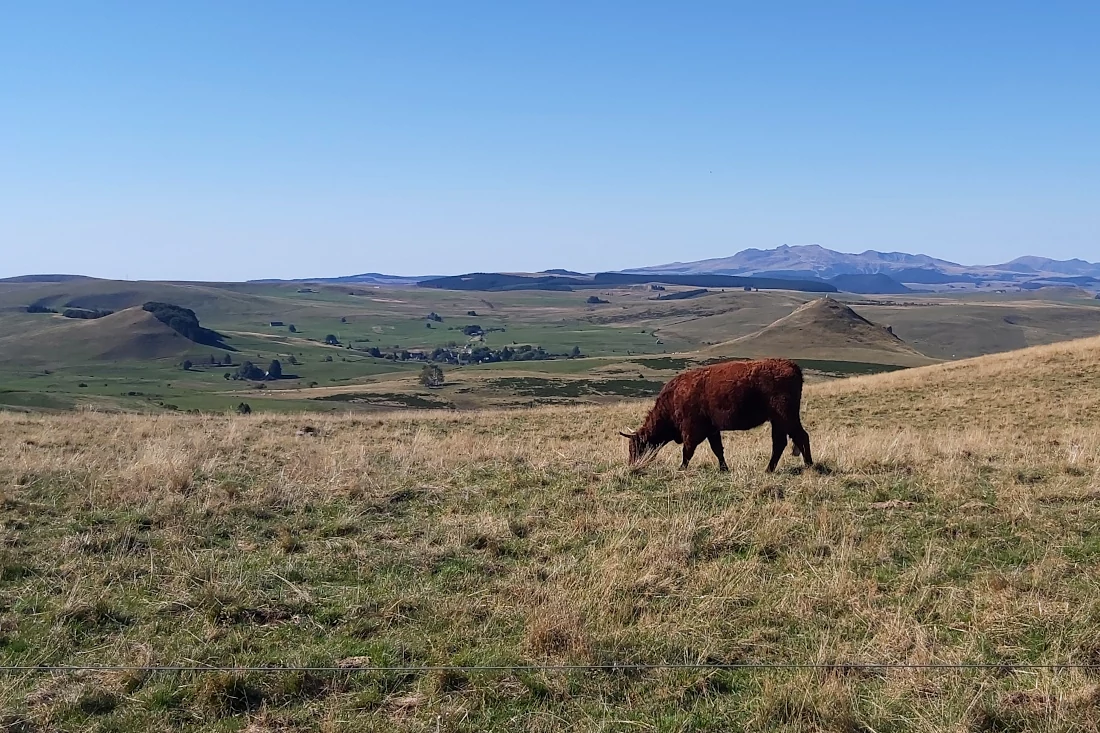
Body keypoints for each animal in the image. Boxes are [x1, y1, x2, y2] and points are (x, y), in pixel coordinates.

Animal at [624, 356, 814, 471]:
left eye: (636, 447)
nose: (632, 465)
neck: (672, 398)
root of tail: (792, 366)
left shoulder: (692, 431)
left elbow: (687, 451)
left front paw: (681, 468)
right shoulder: (712, 431)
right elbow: (718, 450)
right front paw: (724, 469)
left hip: (786, 417)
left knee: (800, 436)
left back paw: (809, 465)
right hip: (778, 421)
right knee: (782, 442)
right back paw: (771, 469)